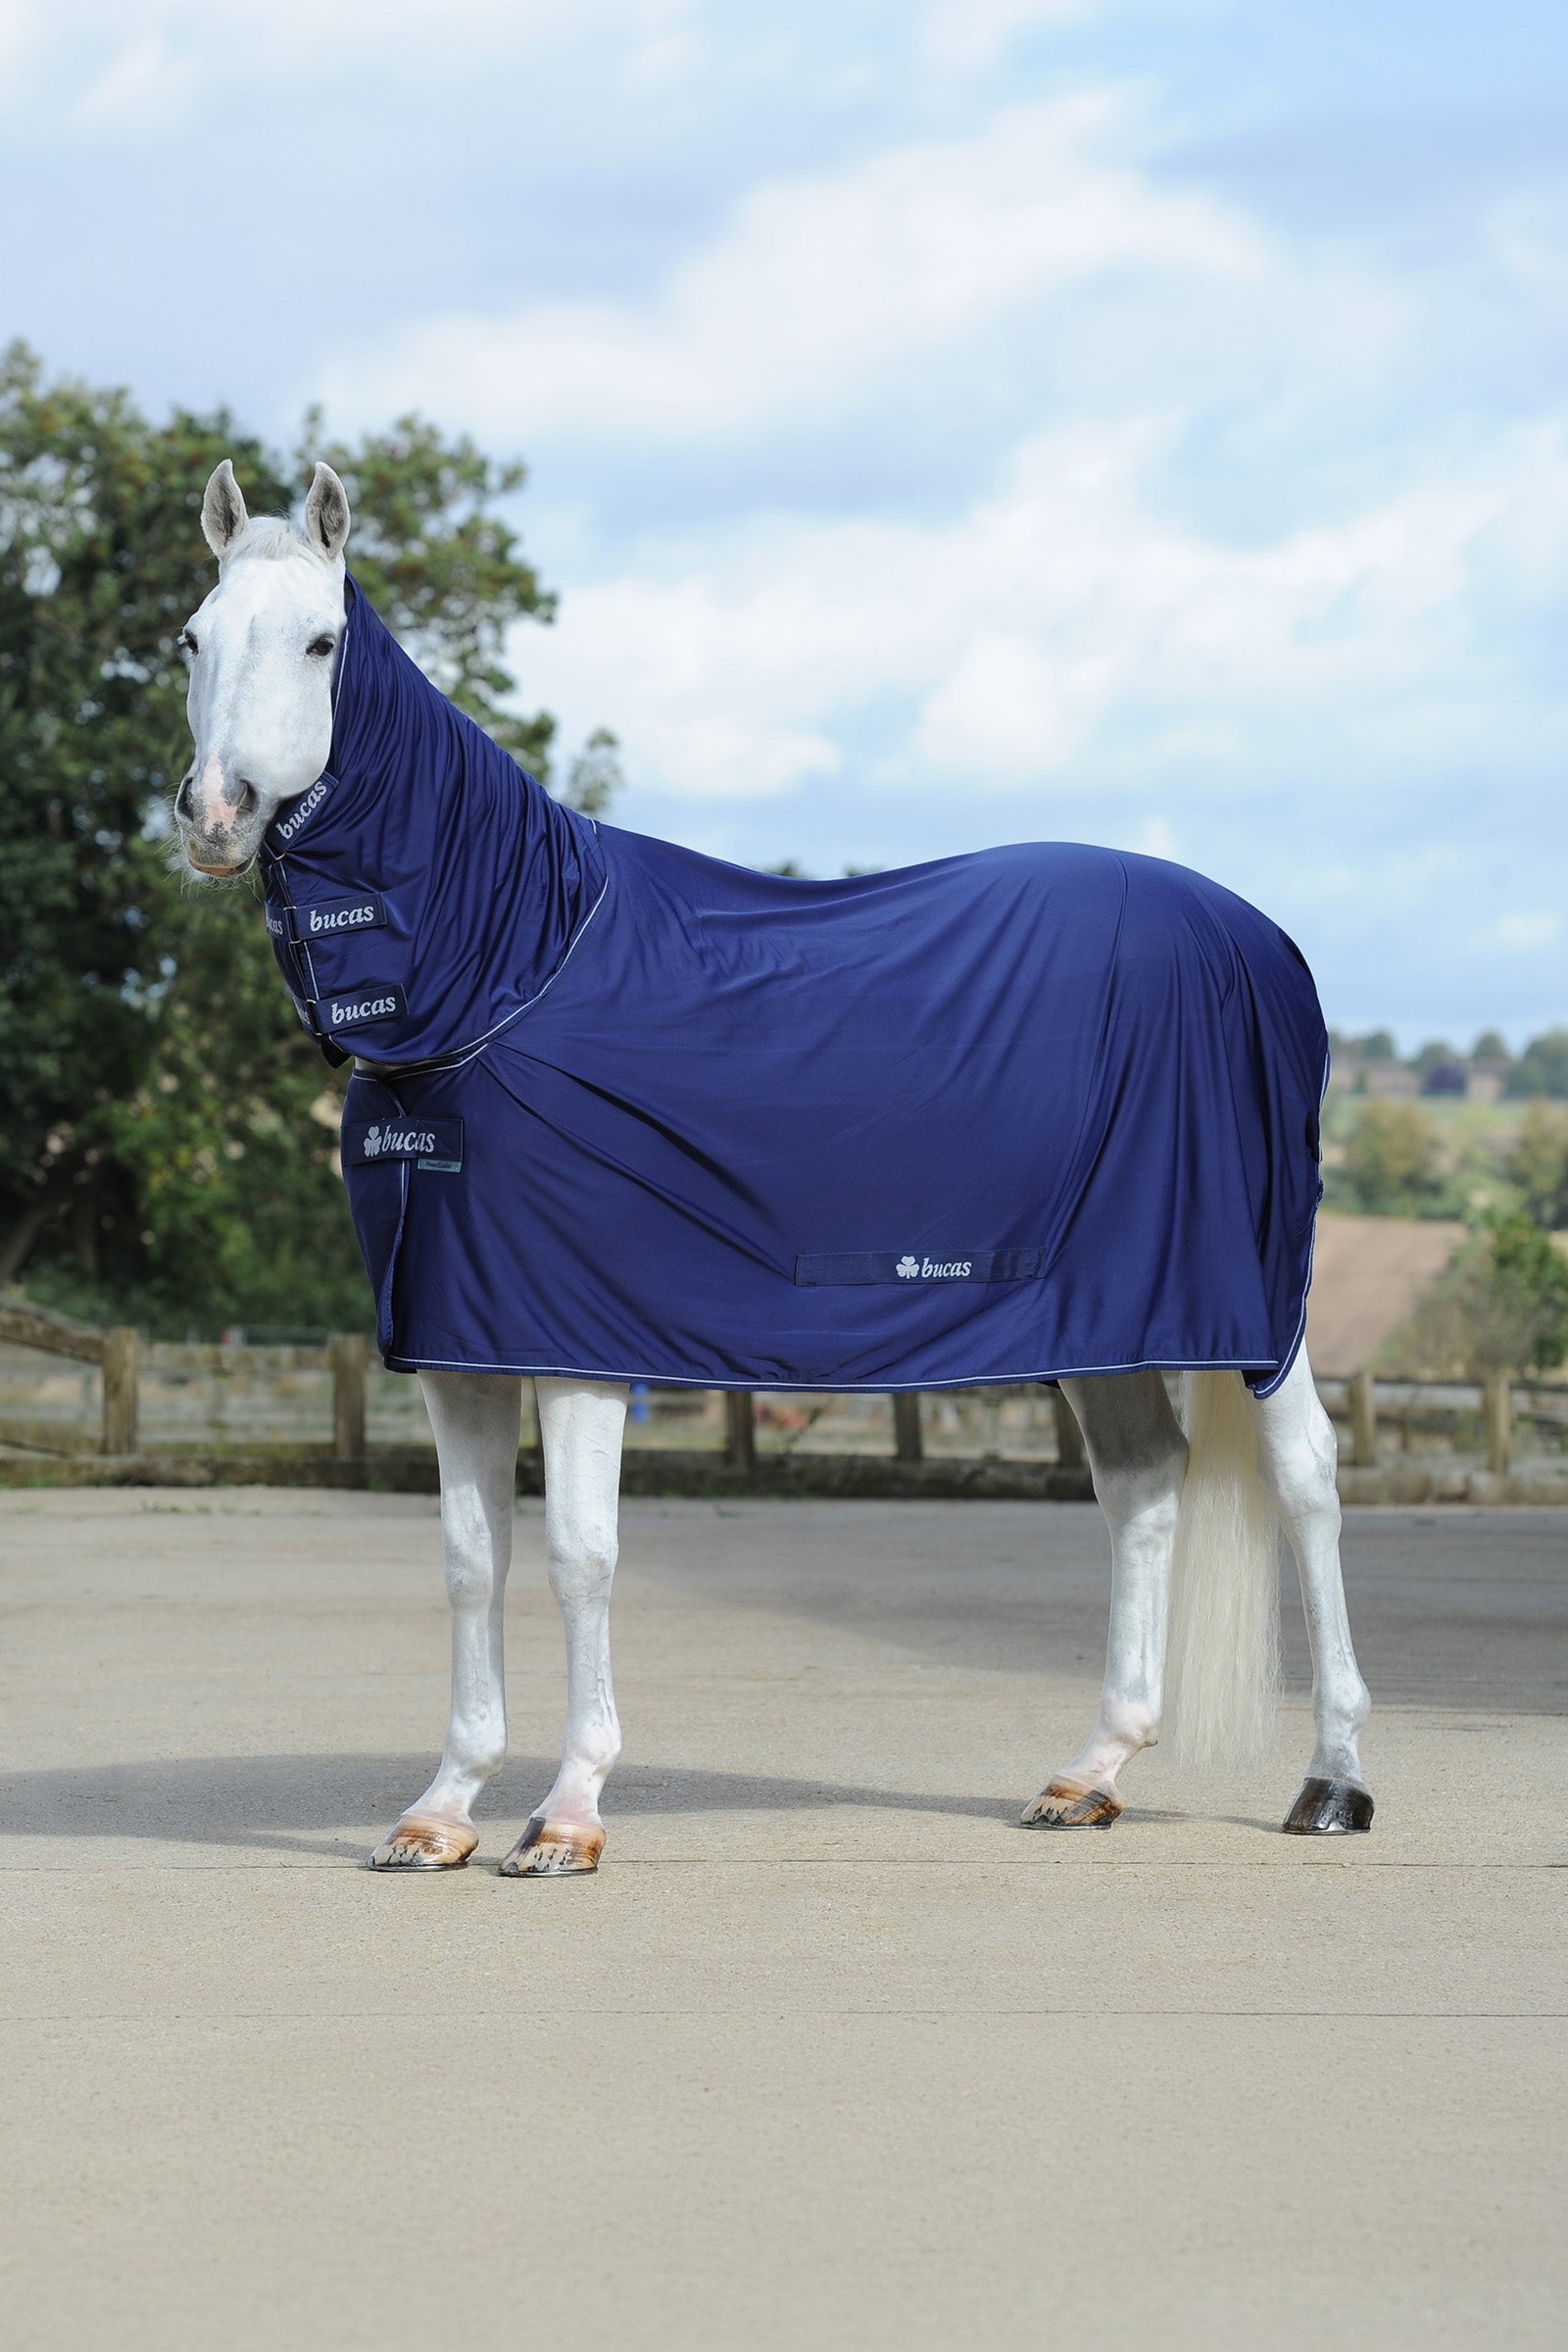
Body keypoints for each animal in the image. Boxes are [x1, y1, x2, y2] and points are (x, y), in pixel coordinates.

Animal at [171, 456, 1373, 1875]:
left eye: (319, 641)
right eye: (192, 638)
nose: (215, 816)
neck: (509, 967)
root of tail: (1266, 942)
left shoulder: (577, 1339)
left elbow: (579, 1557)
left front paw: (567, 1816)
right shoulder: (460, 1340)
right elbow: (474, 1562)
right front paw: (441, 1810)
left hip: (1252, 1302)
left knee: (1307, 1482)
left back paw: (1333, 1781)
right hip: (1106, 1312)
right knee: (1143, 1487)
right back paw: (1089, 1773)